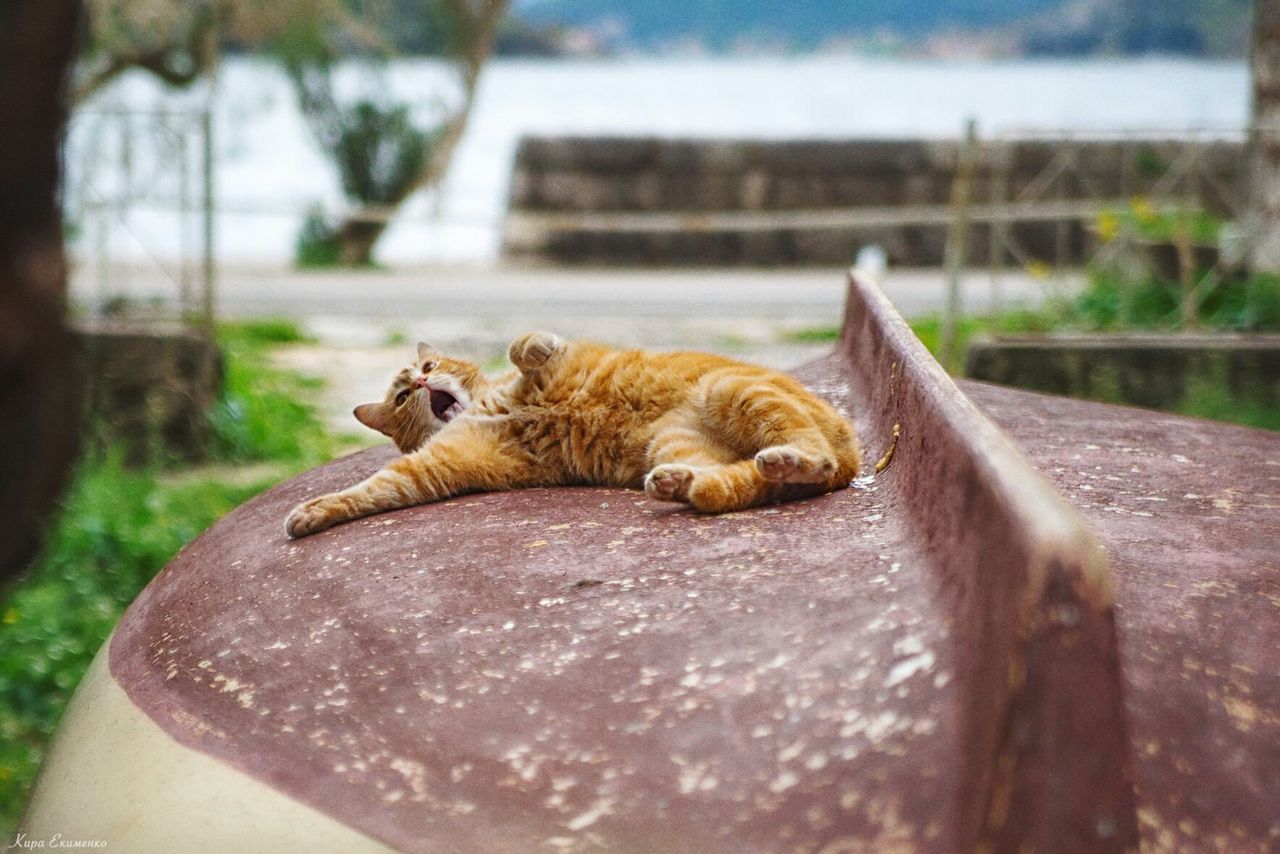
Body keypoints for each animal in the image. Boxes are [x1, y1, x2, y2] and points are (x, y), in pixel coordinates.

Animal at [282, 330, 860, 537]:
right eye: (403, 397)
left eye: (429, 364)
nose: (423, 381)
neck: (487, 403)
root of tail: (855, 452)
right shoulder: (436, 465)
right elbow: (376, 487)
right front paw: (315, 511)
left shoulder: (563, 356)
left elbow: (526, 345)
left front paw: (532, 348)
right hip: (682, 443)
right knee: (740, 487)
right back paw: (685, 483)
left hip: (732, 391)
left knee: (813, 458)